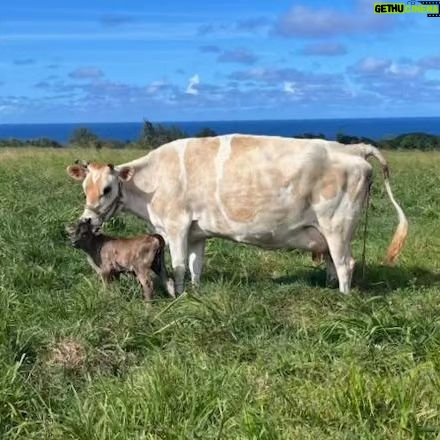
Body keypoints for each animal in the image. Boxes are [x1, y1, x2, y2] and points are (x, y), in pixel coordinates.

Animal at [66, 134, 410, 296]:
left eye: (108, 188)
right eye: (84, 188)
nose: (88, 220)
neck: (153, 182)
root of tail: (353, 149)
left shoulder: (176, 227)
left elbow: (178, 267)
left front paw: (179, 297)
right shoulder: (196, 232)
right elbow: (196, 267)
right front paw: (197, 293)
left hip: (338, 226)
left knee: (345, 264)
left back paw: (342, 297)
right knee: (332, 263)